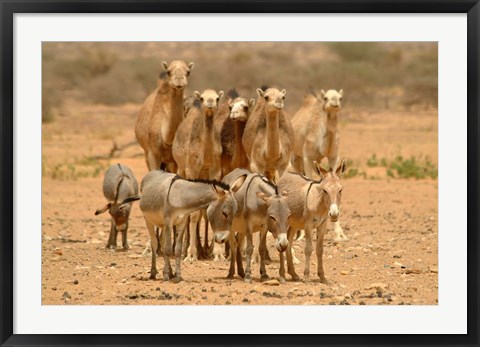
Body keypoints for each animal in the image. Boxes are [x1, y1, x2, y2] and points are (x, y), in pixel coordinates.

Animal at [172, 88, 225, 262]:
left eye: (217, 98)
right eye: (202, 98)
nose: (210, 103)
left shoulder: (215, 172)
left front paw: (218, 254)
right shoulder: (191, 170)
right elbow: (194, 214)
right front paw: (191, 254)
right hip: (181, 170)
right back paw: (184, 250)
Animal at [288, 89, 348, 242]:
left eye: (340, 98)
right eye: (326, 98)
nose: (334, 103)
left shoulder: (334, 156)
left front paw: (340, 234)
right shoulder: (307, 157)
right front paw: (303, 235)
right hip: (295, 157)